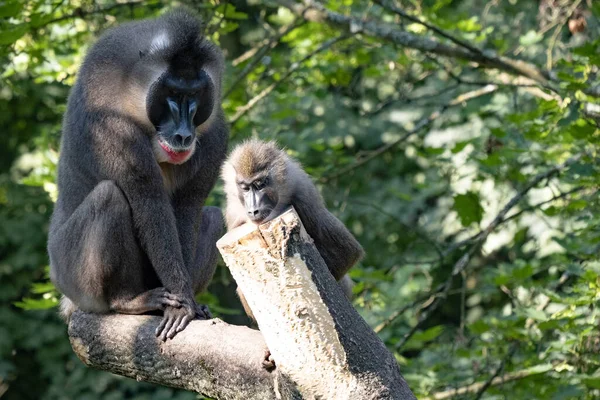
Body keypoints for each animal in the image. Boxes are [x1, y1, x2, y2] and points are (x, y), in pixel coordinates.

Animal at [47, 8, 227, 340]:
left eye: (194, 94)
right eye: (172, 93)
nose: (183, 135)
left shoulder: (214, 137)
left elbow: (188, 209)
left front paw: (187, 303)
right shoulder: (114, 133)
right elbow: (150, 206)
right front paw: (181, 304)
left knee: (211, 215)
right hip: (74, 277)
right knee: (109, 196)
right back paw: (129, 301)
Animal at [223, 141, 364, 322]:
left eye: (260, 184)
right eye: (245, 188)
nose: (254, 210)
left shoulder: (305, 196)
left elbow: (348, 252)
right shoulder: (234, 215)